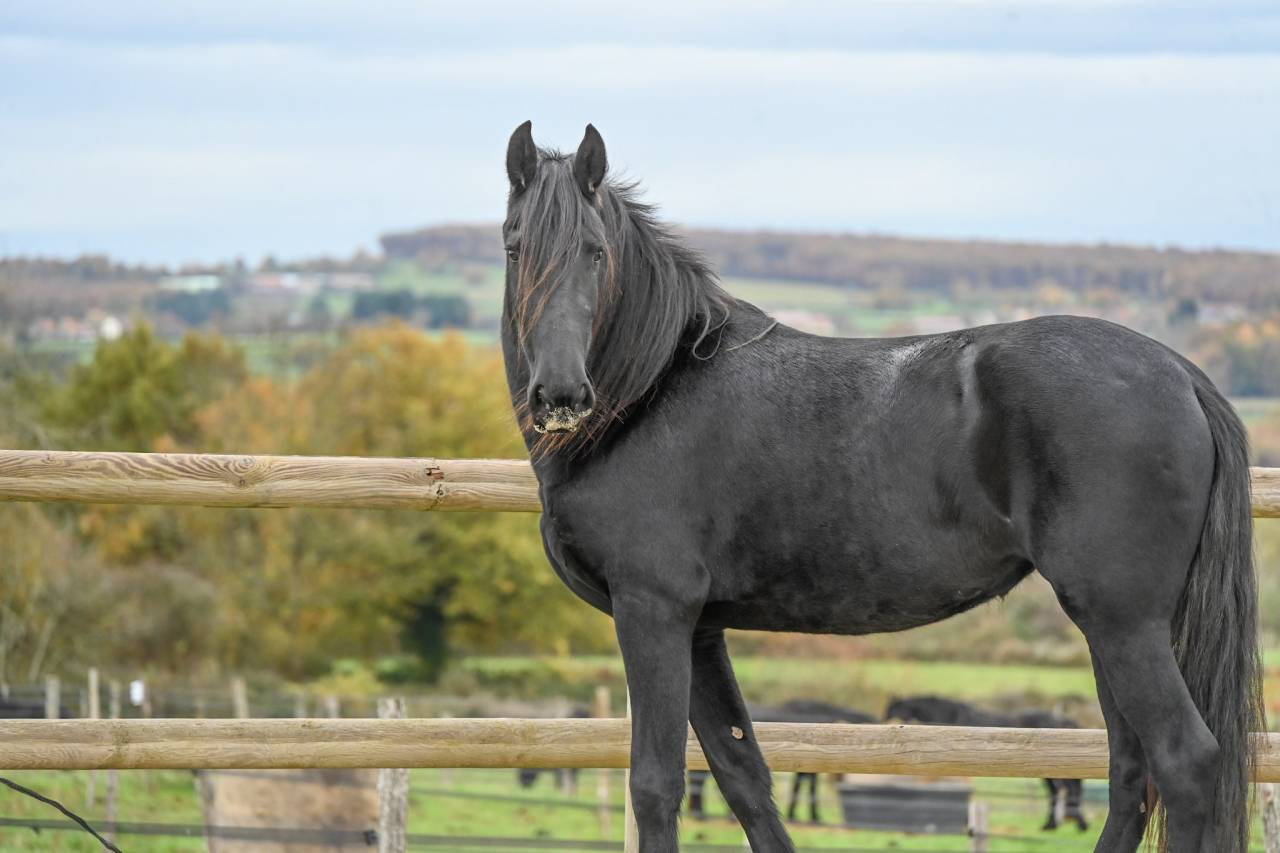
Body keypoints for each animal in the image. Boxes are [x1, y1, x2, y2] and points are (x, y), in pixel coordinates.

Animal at [687, 700, 876, 824]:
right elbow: (807, 787)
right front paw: (811, 816)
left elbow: (800, 786)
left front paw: (797, 814)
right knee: (698, 781)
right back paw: (701, 814)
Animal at [885, 695, 1089, 831]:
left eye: (892, 712)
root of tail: (1065, 720)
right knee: (1059, 790)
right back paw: (1054, 825)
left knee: (1066, 789)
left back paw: (1075, 824)